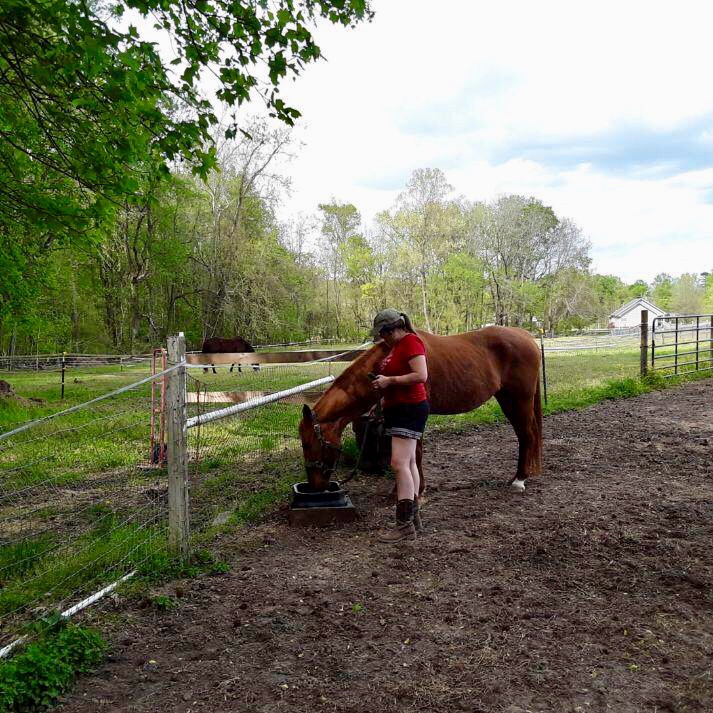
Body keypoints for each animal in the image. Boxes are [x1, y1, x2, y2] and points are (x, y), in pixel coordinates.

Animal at [298, 326, 544, 492]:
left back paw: (519, 480)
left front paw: (416, 490)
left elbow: (415, 453)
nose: (315, 486)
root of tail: (526, 336)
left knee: (527, 436)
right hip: (508, 400)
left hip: (518, 400)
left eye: (307, 443)